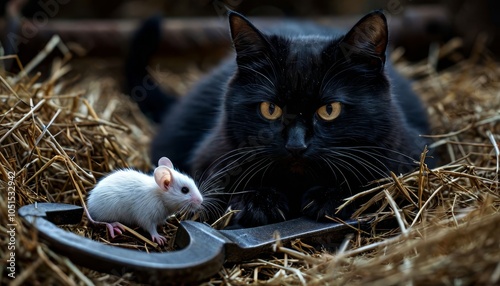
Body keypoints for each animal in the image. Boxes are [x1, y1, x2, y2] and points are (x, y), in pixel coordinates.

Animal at [126, 10, 434, 227]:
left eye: (329, 110)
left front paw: (329, 197)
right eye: (270, 109)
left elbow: (373, 177)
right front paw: (259, 201)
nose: (296, 145)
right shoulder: (213, 154)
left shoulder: (410, 154)